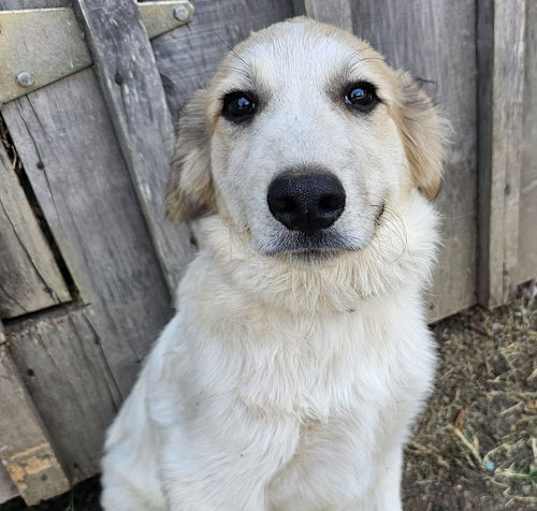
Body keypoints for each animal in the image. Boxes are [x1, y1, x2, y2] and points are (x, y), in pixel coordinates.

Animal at [99, 16, 444, 511]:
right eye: (239, 104)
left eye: (360, 95)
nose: (305, 200)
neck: (324, 312)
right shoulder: (210, 480)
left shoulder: (381, 457)